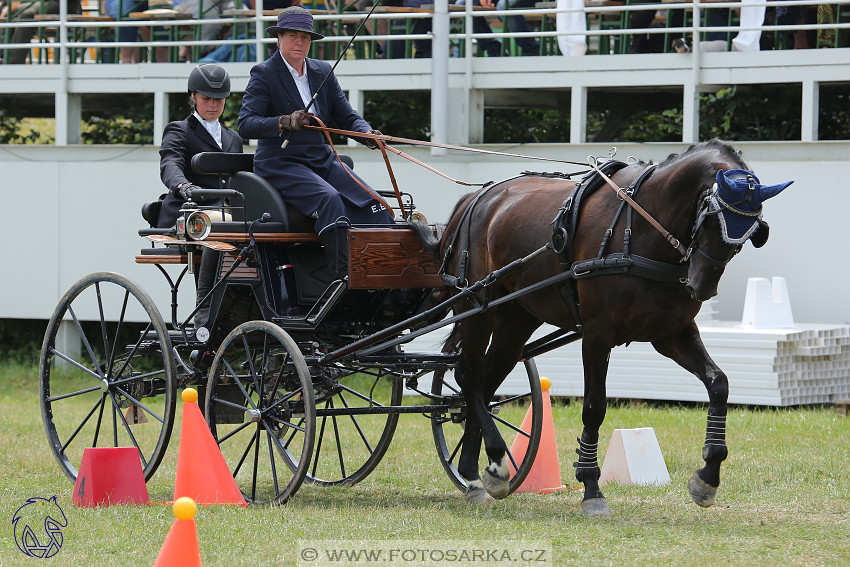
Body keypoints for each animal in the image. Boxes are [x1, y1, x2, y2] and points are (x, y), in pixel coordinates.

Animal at [414, 140, 792, 516]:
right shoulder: (598, 334)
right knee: (468, 376)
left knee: (484, 383)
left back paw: (478, 473)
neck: (642, 227)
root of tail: (475, 199)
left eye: (749, 232)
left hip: (516, 320)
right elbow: (594, 407)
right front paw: (591, 487)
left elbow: (719, 384)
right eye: (712, 220)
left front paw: (708, 477)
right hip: (475, 309)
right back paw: (489, 459)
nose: (702, 287)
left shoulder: (672, 334)